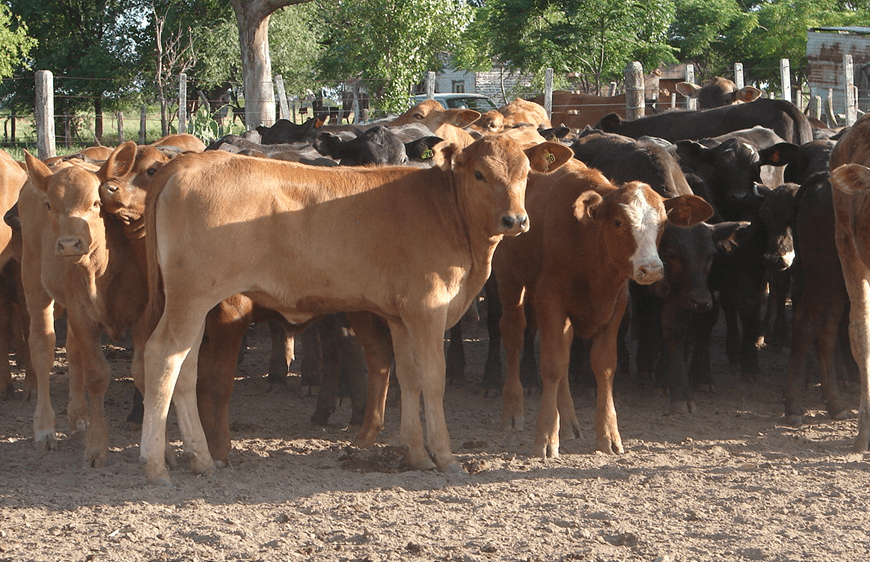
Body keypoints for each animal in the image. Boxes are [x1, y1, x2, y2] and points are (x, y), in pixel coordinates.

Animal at [494, 158, 712, 456]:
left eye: (663, 224)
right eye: (618, 222)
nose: (651, 269)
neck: (588, 241)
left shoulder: (616, 302)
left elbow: (604, 364)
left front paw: (608, 433)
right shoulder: (550, 298)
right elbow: (552, 363)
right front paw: (546, 436)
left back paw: (569, 421)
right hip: (509, 279)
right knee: (514, 334)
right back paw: (513, 411)